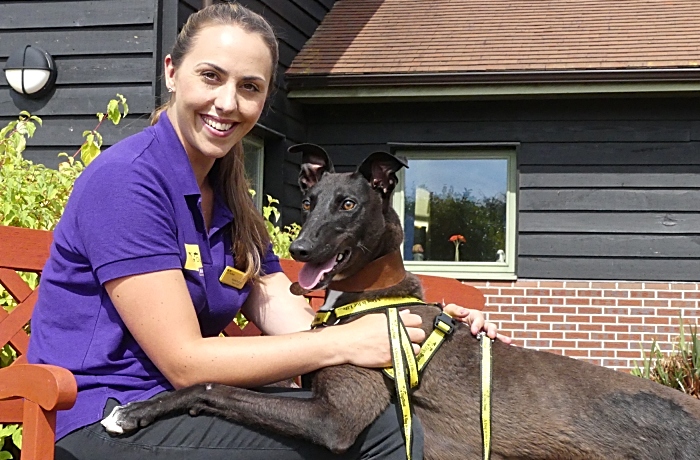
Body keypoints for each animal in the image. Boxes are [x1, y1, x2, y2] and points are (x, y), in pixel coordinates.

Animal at [101, 145, 700, 460]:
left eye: (348, 203)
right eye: (309, 200)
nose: (299, 249)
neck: (371, 297)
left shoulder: (335, 420)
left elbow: (212, 386)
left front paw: (133, 412)